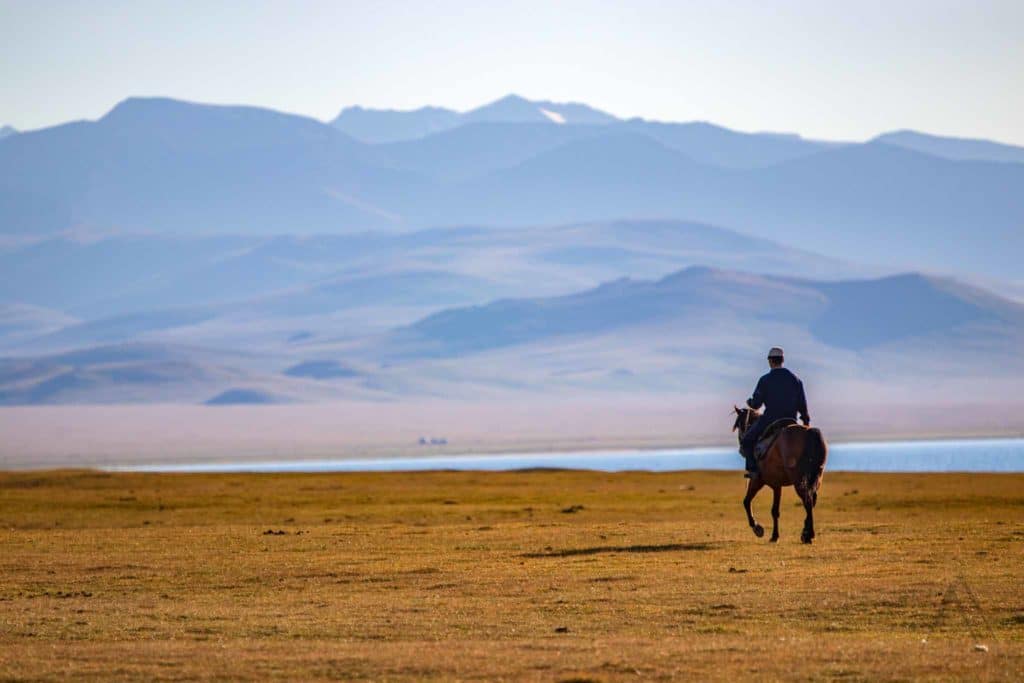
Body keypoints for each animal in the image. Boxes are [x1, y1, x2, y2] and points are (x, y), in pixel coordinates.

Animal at [733, 405, 827, 544]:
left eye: (739, 423)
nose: (741, 444)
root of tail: (809, 433)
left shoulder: (759, 481)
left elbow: (747, 502)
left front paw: (758, 528)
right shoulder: (777, 485)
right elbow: (775, 511)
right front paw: (774, 535)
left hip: (798, 479)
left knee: (807, 500)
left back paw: (809, 535)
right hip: (816, 477)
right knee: (812, 500)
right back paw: (806, 533)